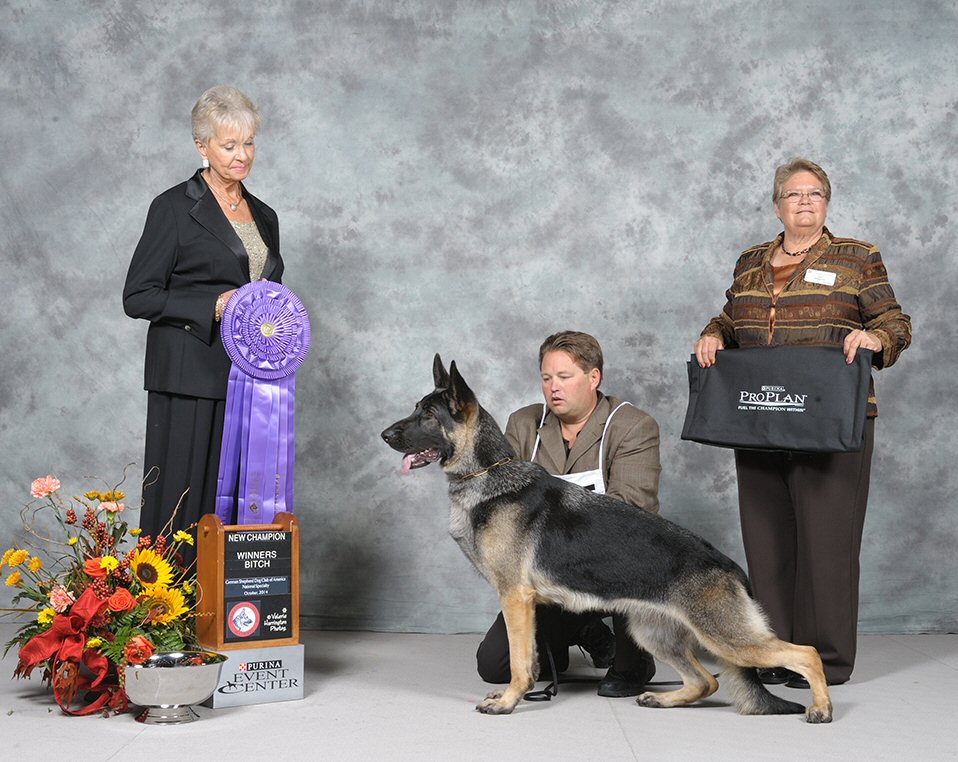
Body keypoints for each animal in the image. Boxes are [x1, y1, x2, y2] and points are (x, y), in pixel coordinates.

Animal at [382, 356, 832, 724]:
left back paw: (821, 708)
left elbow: (520, 663)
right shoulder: (523, 603)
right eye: (415, 408)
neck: (488, 474)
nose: (385, 434)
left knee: (805, 653)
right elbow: (525, 659)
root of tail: (731, 568)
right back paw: (663, 700)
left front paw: (509, 702)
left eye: (427, 415)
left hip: (726, 638)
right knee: (707, 680)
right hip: (653, 633)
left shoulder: (515, 599)